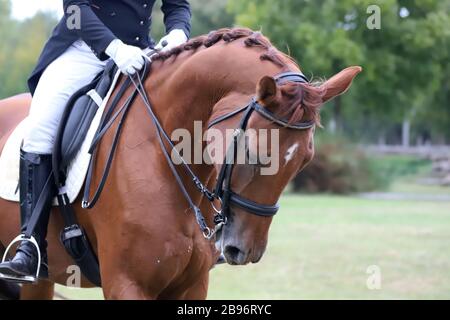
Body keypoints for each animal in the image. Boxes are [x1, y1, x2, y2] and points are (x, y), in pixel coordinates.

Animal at [0, 28, 360, 300]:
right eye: (251, 151)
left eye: (304, 160)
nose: (243, 250)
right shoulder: (126, 284)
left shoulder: (193, 284)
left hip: (43, 279)